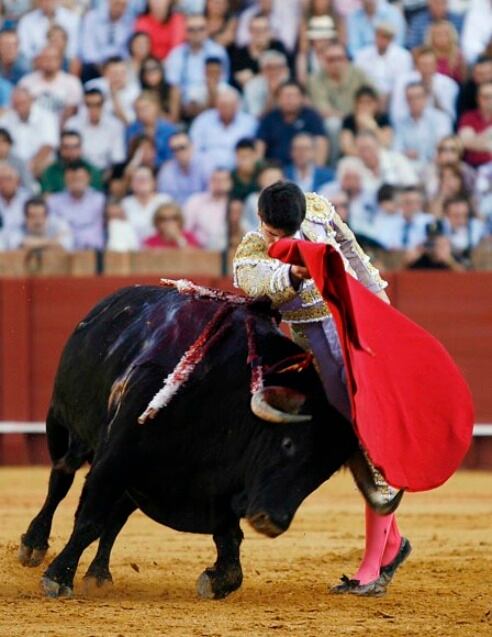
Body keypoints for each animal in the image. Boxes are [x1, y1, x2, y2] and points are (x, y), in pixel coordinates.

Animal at [18, 286, 380, 600]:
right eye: (288, 444)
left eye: (324, 472)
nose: (272, 520)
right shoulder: (115, 459)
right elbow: (89, 519)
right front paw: (58, 577)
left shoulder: (216, 485)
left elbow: (229, 538)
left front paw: (217, 579)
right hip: (61, 424)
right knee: (59, 482)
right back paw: (34, 545)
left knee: (116, 516)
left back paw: (99, 574)